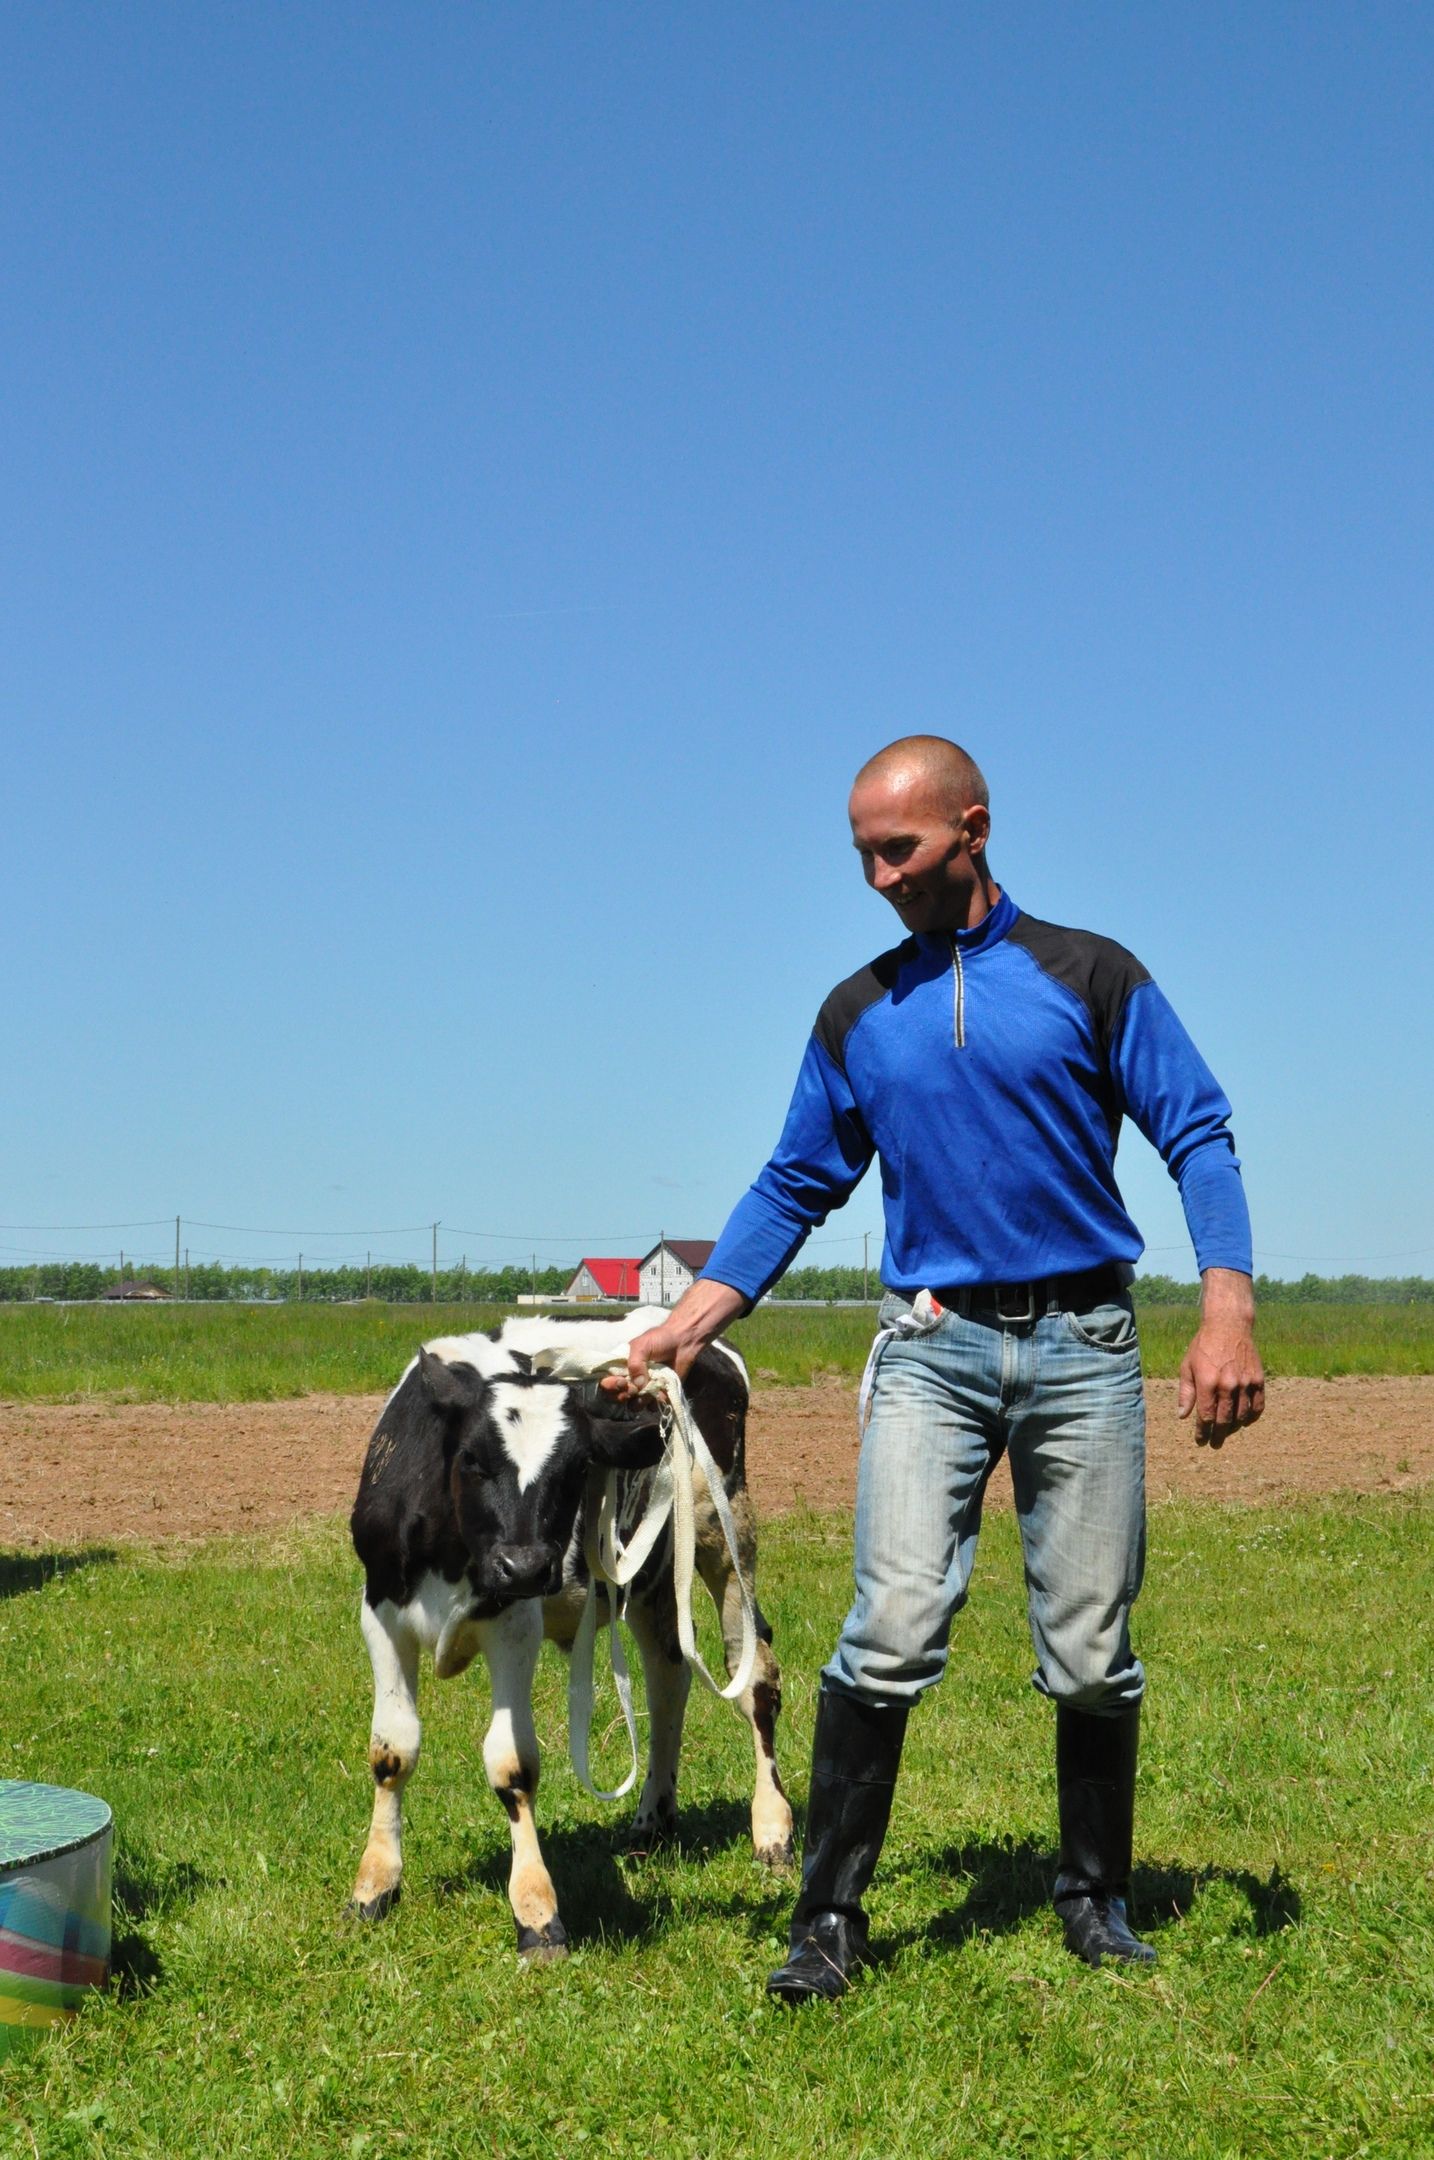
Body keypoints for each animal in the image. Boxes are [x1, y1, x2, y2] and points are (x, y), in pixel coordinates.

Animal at [347, 1296, 794, 1961]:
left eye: (578, 1466)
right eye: (471, 1459)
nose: (526, 1565)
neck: (453, 1547)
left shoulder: (513, 1622)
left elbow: (512, 1765)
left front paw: (536, 1911)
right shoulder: (380, 1609)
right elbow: (392, 1751)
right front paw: (375, 1883)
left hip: (725, 1534)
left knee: (754, 1676)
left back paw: (772, 1828)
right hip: (651, 1576)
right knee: (668, 1676)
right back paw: (651, 1821)